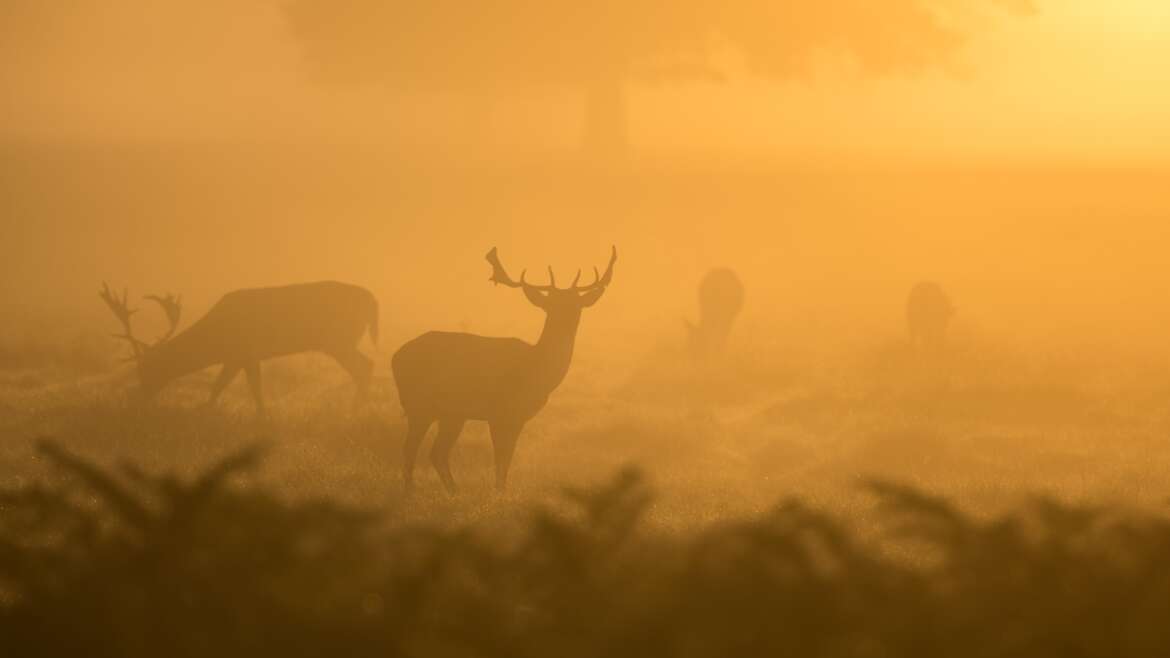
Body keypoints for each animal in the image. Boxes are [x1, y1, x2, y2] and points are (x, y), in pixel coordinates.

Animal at [100, 277, 376, 412]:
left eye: (146, 369)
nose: (136, 399)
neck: (216, 339)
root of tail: (373, 300)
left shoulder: (245, 352)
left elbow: (240, 385)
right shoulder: (237, 357)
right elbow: (226, 385)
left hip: (338, 339)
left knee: (365, 365)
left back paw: (355, 409)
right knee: (365, 366)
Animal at [390, 245, 617, 491]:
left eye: (577, 305)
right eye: (551, 305)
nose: (567, 322)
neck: (537, 370)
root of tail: (395, 357)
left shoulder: (517, 417)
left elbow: (506, 460)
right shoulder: (500, 412)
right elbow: (501, 459)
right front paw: (499, 492)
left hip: (451, 413)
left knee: (436, 452)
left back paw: (453, 491)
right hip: (419, 404)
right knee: (411, 449)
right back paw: (412, 490)